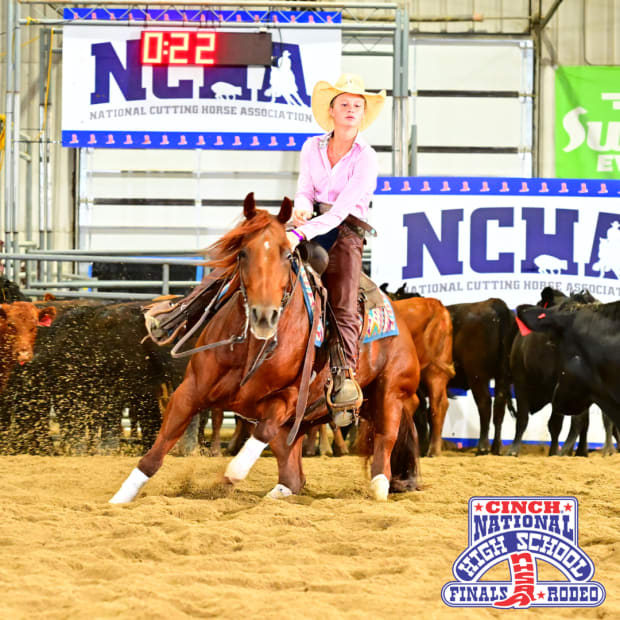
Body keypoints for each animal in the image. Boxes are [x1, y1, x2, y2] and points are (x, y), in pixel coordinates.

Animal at [111, 195, 422, 504]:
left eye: (287, 255)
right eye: (242, 253)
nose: (264, 316)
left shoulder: (287, 399)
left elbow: (259, 434)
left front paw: (227, 478)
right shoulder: (190, 391)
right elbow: (155, 453)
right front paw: (119, 499)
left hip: (390, 394)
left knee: (384, 443)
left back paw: (379, 486)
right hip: (305, 421)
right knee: (293, 475)